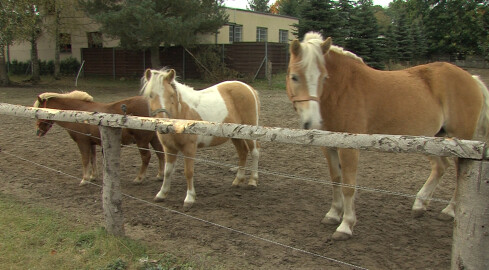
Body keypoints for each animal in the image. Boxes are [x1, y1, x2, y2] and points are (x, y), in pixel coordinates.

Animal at [33, 90, 166, 186]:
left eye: (39, 110)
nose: (38, 131)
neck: (78, 113)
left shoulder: (82, 142)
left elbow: (85, 159)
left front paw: (85, 179)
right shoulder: (90, 143)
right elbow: (92, 159)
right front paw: (93, 176)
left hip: (142, 140)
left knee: (146, 157)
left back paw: (139, 178)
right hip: (153, 139)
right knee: (160, 154)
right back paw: (160, 175)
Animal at [139, 67, 262, 209]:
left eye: (171, 95)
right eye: (150, 95)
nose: (164, 125)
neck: (182, 114)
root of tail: (248, 88)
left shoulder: (189, 148)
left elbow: (188, 172)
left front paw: (189, 198)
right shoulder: (169, 149)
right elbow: (167, 171)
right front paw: (161, 194)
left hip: (249, 132)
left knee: (255, 152)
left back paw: (252, 181)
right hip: (236, 135)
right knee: (242, 152)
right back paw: (237, 180)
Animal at [284, 31, 488, 240]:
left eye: (324, 77)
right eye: (294, 77)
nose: (312, 122)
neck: (342, 90)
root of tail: (471, 78)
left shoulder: (349, 148)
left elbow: (348, 185)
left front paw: (346, 225)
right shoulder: (328, 146)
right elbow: (335, 179)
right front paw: (333, 214)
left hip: (460, 141)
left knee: (459, 176)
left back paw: (449, 211)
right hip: (432, 139)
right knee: (440, 166)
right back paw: (420, 205)